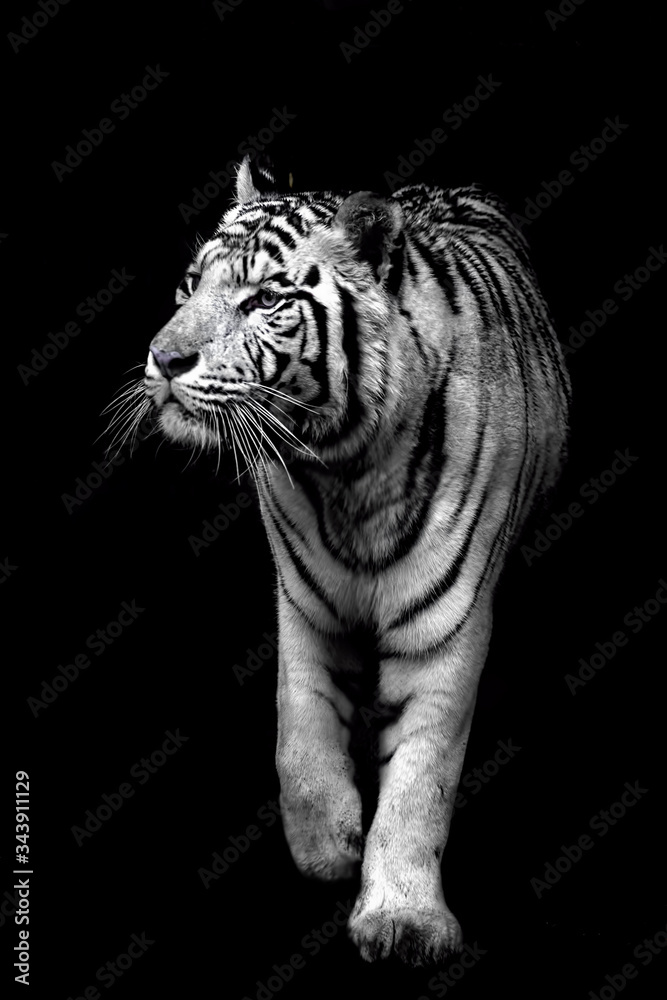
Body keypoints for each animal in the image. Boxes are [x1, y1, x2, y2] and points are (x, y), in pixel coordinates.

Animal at [135, 154, 570, 966]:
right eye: (189, 284)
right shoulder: (304, 601)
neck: (344, 467)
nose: (164, 358)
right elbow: (297, 740)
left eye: (264, 299)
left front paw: (401, 919)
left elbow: (420, 782)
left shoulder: (444, 625)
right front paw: (329, 849)